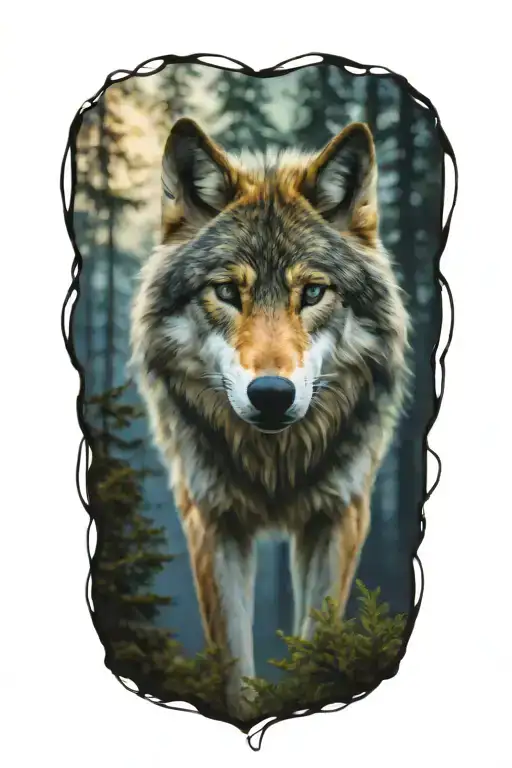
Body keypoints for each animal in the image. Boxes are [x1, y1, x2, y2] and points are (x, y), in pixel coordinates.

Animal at [130, 116, 409, 718]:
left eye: (313, 292)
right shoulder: (211, 519)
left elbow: (314, 642)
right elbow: (234, 661)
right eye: (227, 291)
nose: (273, 394)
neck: (274, 465)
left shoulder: (341, 515)